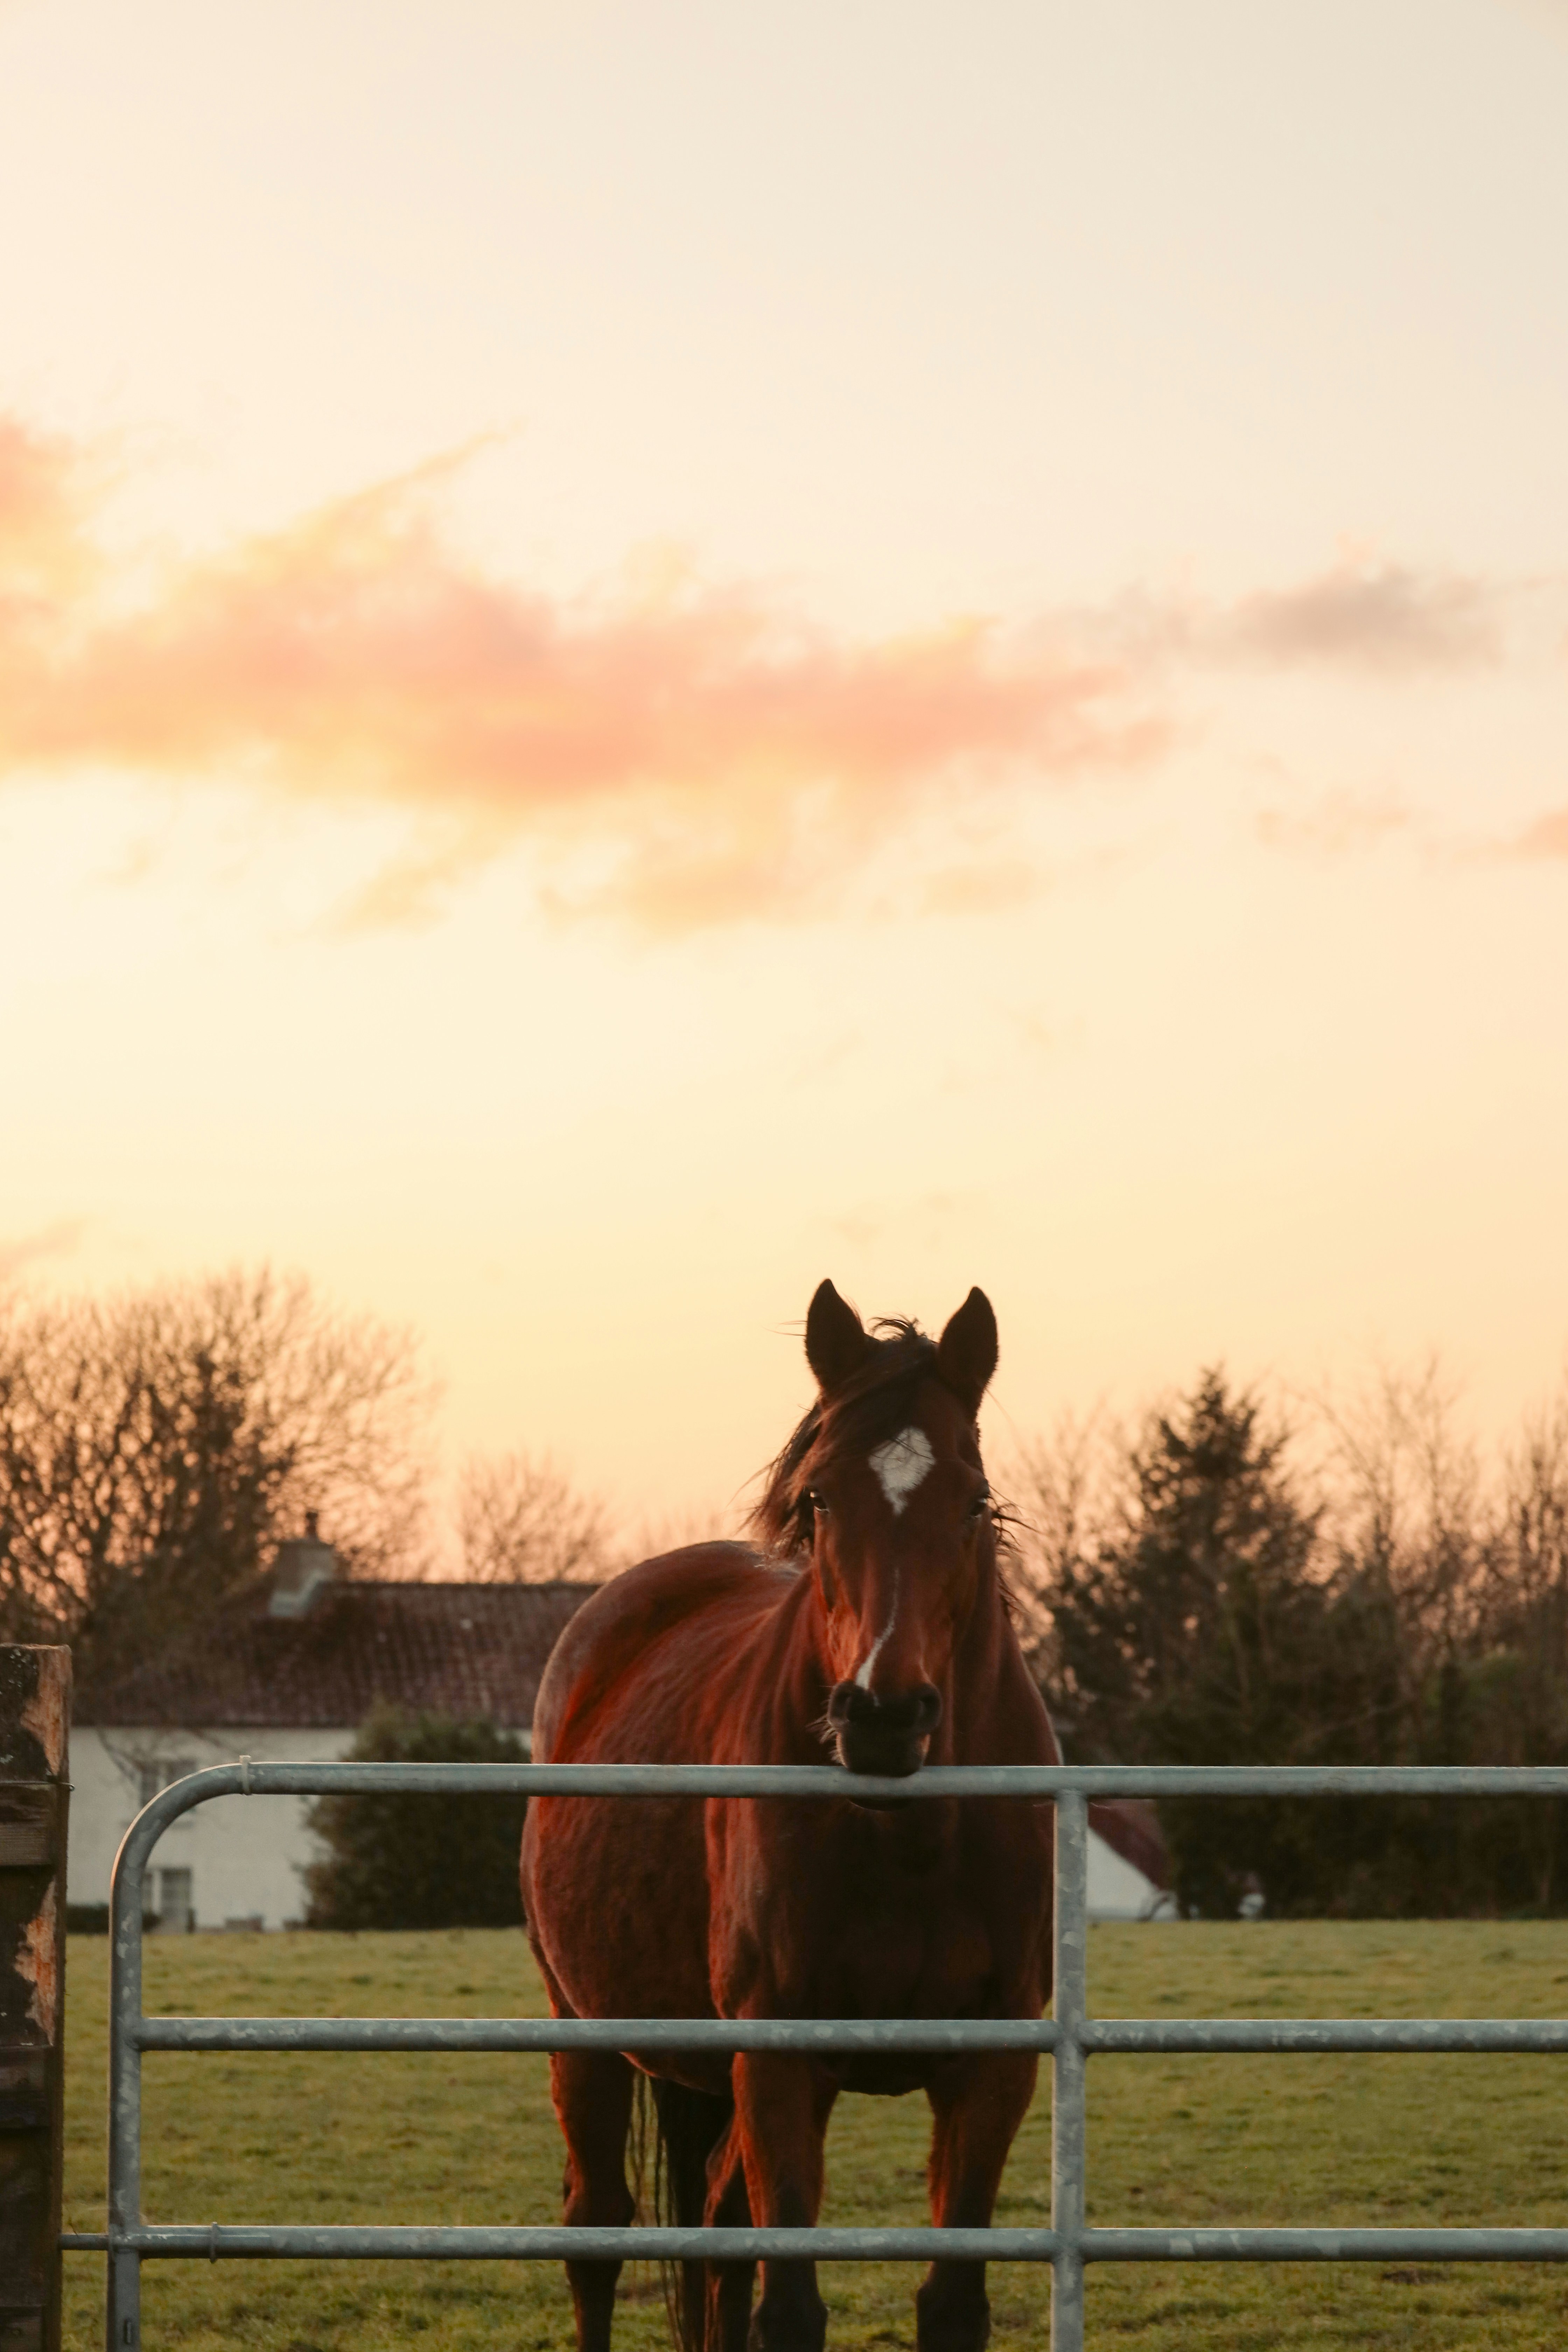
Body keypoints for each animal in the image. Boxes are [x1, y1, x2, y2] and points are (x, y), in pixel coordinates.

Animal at [521, 1281, 1059, 2352]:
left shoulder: (991, 2068)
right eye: (819, 1499)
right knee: (596, 2235)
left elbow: (951, 2305)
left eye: (975, 1502)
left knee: (718, 2232)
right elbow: (790, 2307)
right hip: (585, 2035)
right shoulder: (778, 2062)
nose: (884, 1714)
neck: (910, 1842)